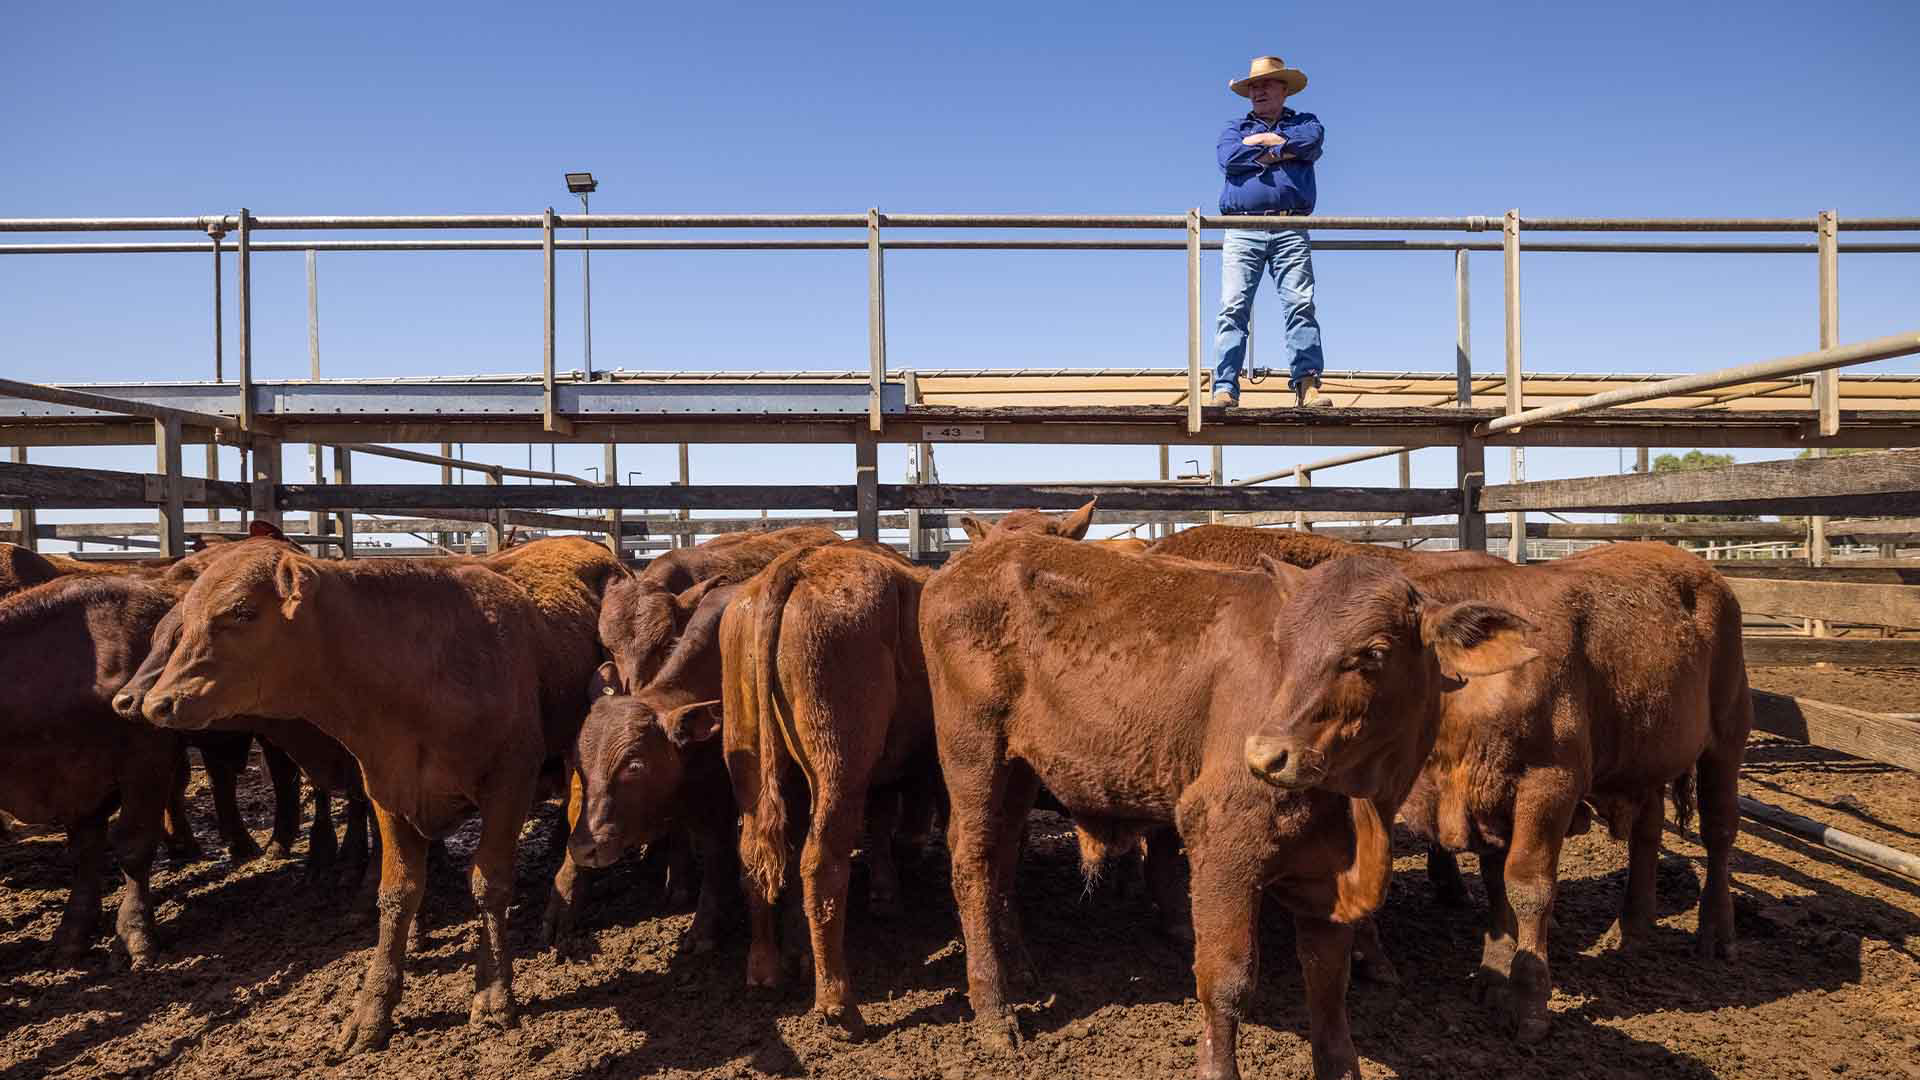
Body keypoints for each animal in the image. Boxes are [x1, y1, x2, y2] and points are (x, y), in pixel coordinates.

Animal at [0, 572, 180, 957]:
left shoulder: (148, 764)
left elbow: (133, 845)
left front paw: (136, 933)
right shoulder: (78, 784)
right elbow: (84, 854)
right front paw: (72, 932)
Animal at [140, 545, 549, 1053]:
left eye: (242, 612)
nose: (156, 703)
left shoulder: (511, 782)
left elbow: (489, 884)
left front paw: (493, 994)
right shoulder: (390, 791)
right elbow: (397, 894)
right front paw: (372, 1011)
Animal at [552, 580, 744, 941]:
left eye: (635, 766)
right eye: (580, 767)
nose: (586, 848)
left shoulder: (720, 803)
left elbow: (716, 857)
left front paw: (704, 928)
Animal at [721, 541, 933, 1030]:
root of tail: (797, 562)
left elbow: (881, 823)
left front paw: (886, 893)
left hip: (751, 756)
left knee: (755, 857)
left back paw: (767, 969)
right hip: (839, 767)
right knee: (821, 863)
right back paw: (839, 1003)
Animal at [921, 538, 1536, 1076]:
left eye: (1374, 653)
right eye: (1283, 646)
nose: (1265, 753)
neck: (1359, 808)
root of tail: (966, 562)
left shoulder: (1326, 876)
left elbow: (1328, 986)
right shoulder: (1222, 842)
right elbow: (1227, 980)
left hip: (1020, 770)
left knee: (1001, 860)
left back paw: (1019, 966)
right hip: (974, 753)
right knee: (972, 866)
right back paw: (994, 1011)